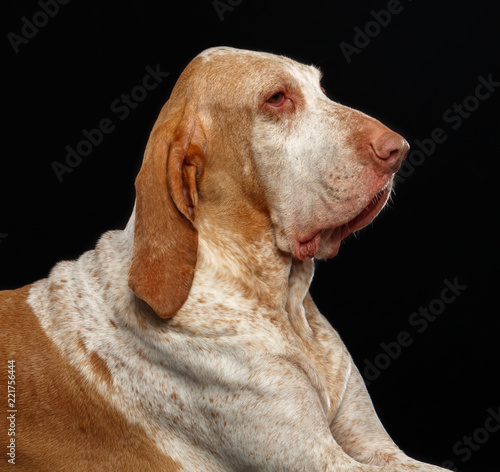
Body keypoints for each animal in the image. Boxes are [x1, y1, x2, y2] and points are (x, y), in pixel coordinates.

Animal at [0, 46, 448, 470]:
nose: (399, 149)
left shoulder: (375, 447)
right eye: (276, 98)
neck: (283, 306)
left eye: (321, 89)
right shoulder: (321, 458)